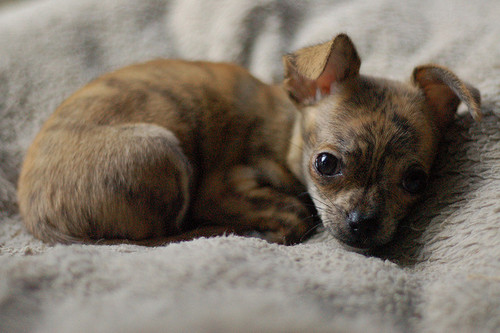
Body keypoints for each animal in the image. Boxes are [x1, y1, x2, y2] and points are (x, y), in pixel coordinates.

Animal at [18, 34, 480, 249]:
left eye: (415, 182)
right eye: (326, 164)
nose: (363, 223)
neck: (287, 134)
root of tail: (39, 220)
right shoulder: (219, 189)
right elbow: (295, 210)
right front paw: (271, 229)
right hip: (160, 149)